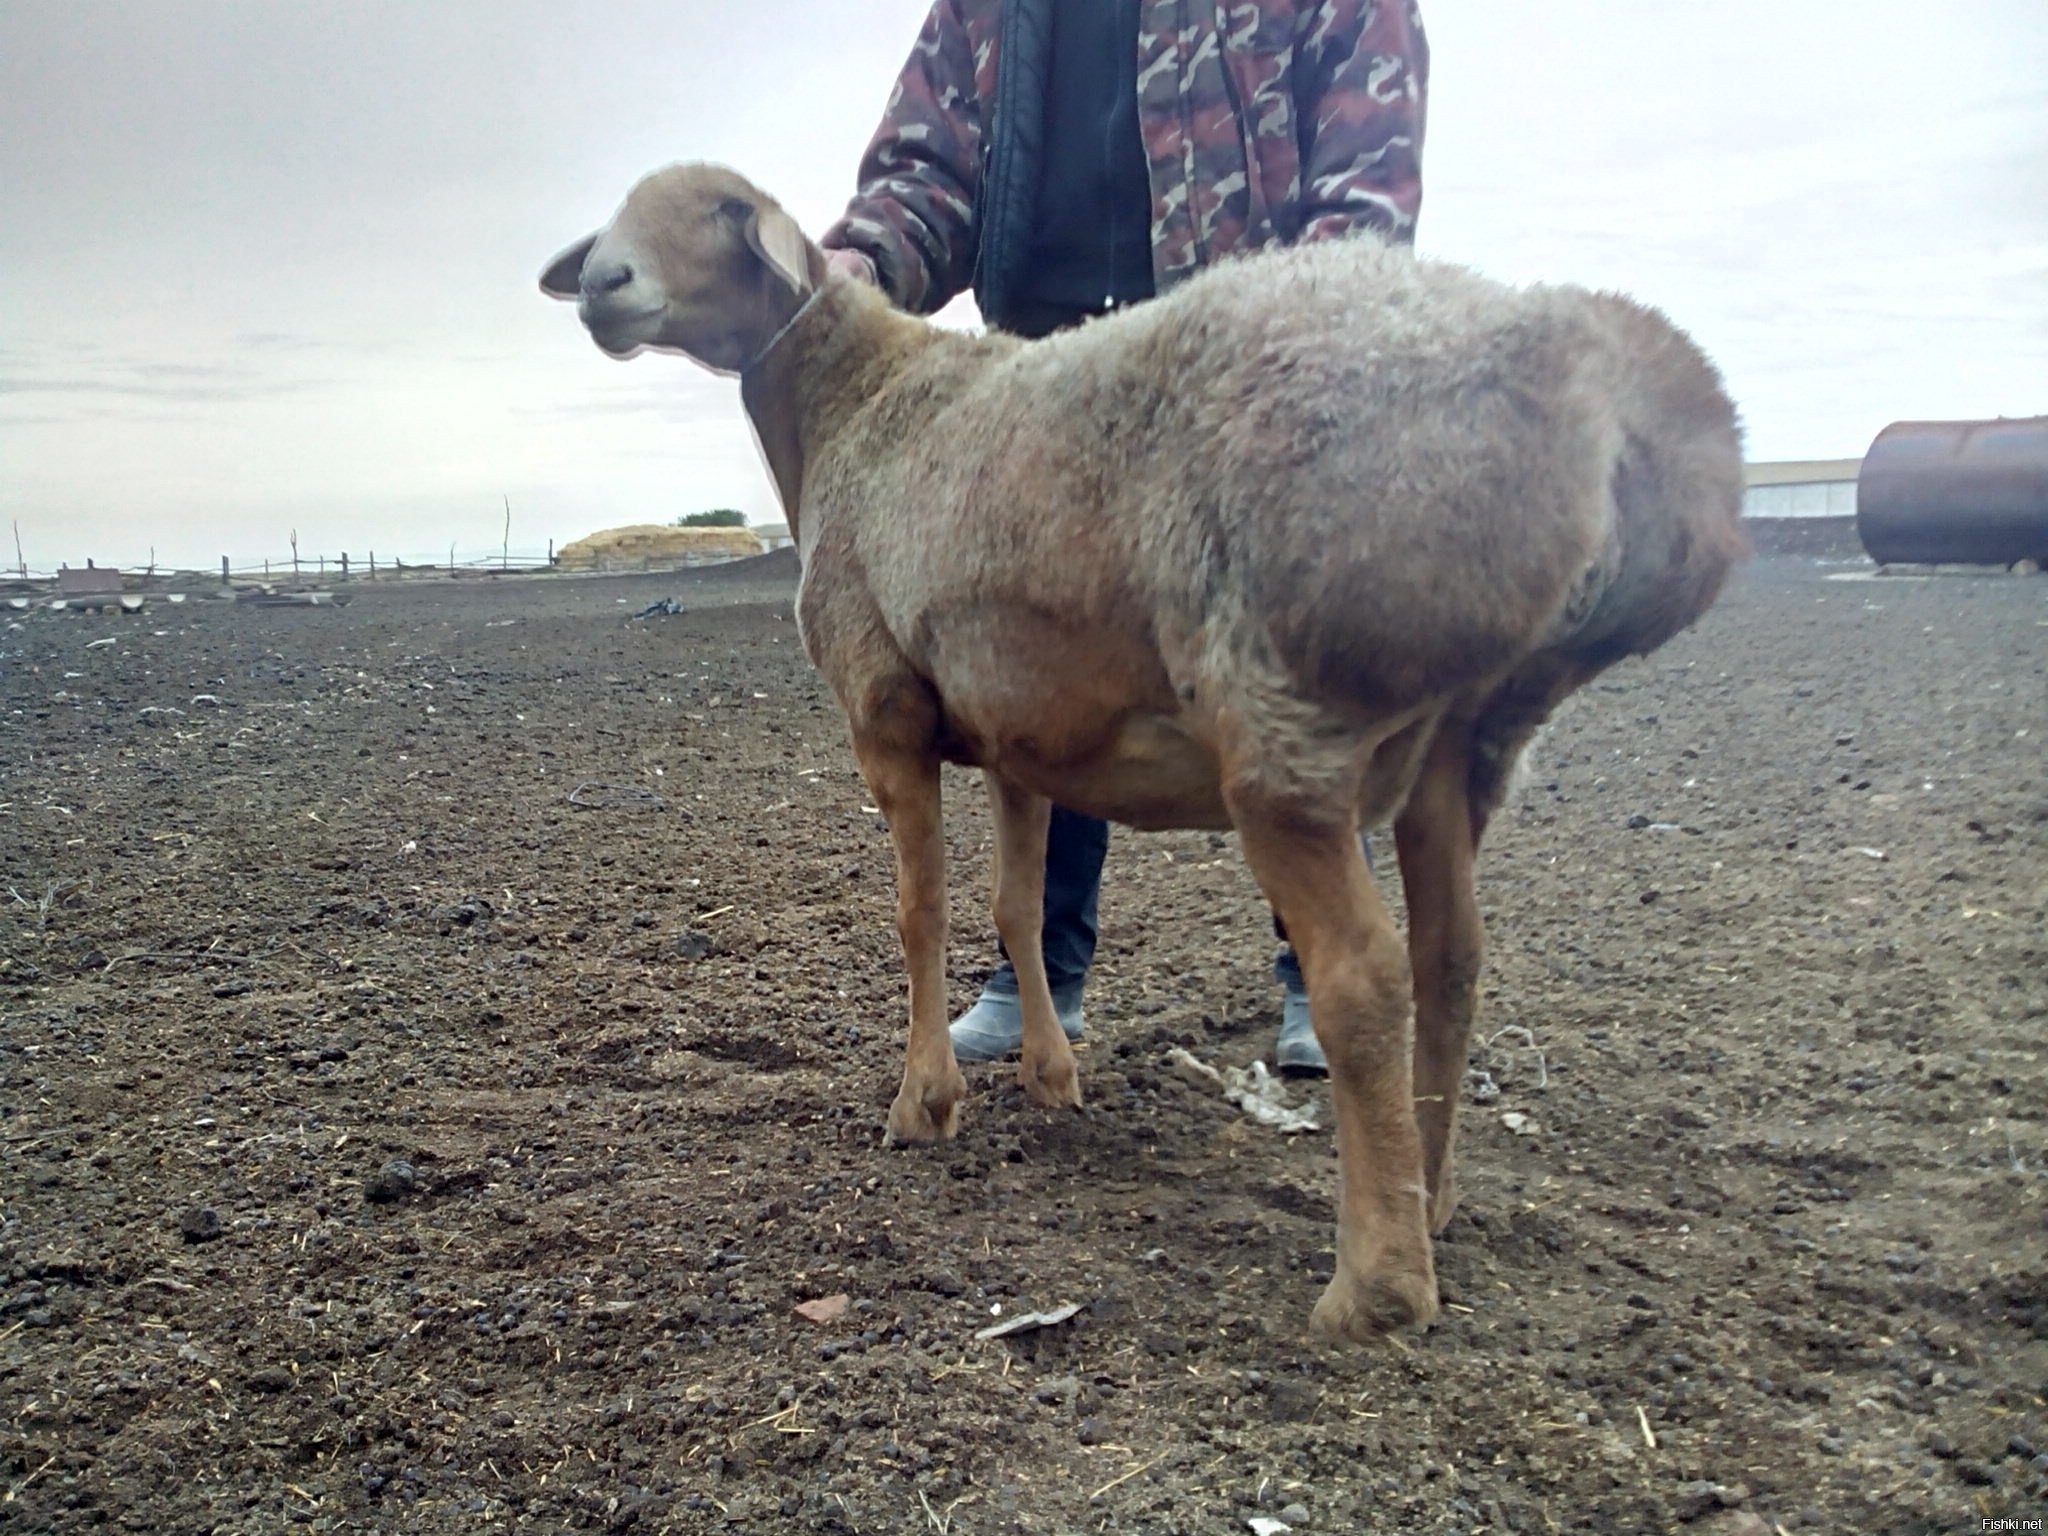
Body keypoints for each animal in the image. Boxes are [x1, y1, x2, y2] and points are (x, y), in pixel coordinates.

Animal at [540, 167, 1744, 1343]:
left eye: (718, 210)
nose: (602, 283)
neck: (849, 405)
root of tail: (1604, 384)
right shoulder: (1016, 733)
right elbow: (1019, 909)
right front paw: (1048, 1074)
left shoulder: (884, 706)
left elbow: (920, 912)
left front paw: (924, 1101)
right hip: (1465, 739)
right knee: (1453, 960)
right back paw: (1432, 1202)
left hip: (1289, 717)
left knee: (1364, 977)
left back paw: (1377, 1288)